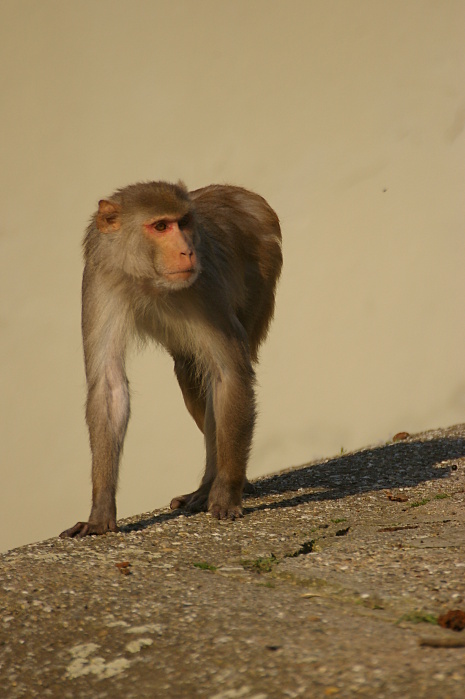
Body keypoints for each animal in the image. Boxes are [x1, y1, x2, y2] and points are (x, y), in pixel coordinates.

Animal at [59, 182, 280, 540]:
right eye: (161, 226)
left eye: (184, 223)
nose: (187, 252)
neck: (148, 280)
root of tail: (239, 192)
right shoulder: (100, 281)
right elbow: (108, 385)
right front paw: (100, 512)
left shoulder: (205, 284)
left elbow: (229, 374)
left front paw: (226, 492)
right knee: (190, 371)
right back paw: (205, 486)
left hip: (263, 270)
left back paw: (215, 484)